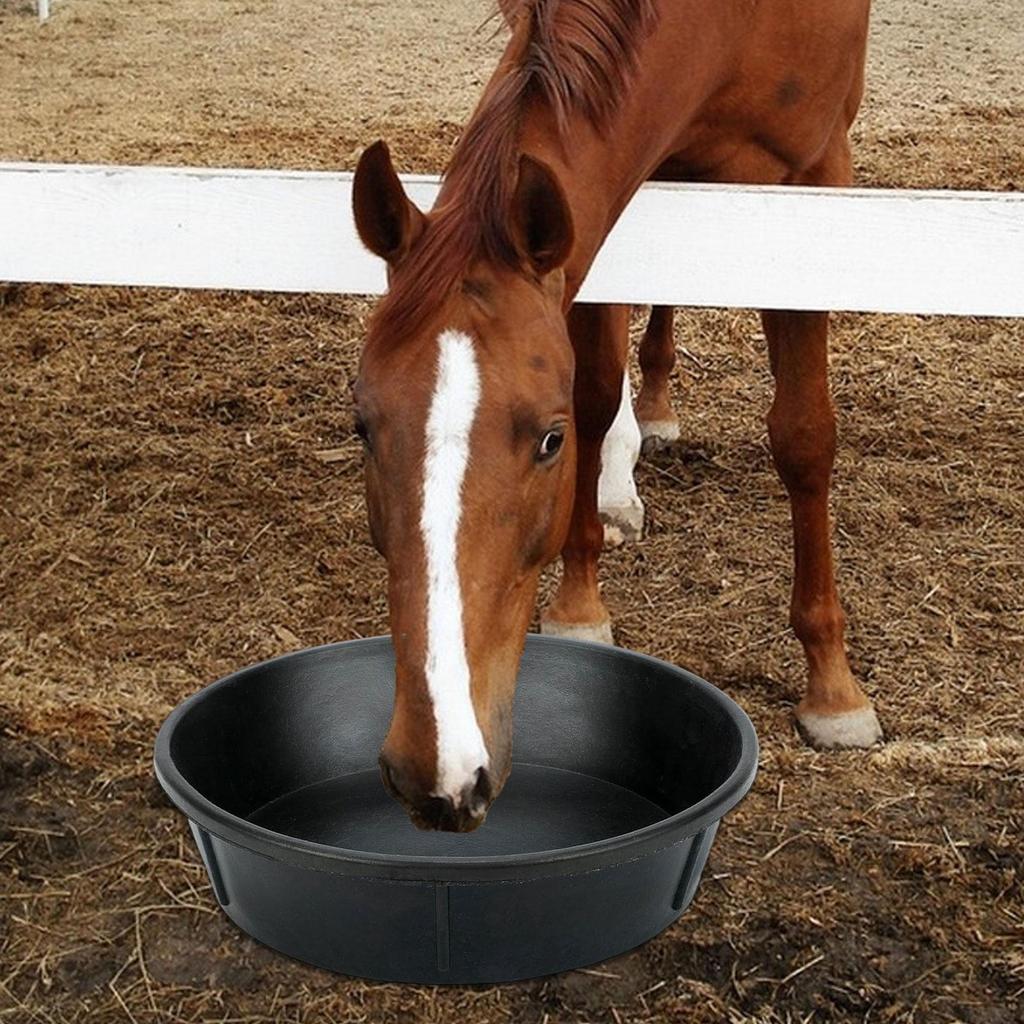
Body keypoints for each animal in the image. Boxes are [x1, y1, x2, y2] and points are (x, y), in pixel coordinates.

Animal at [350, 0, 881, 833]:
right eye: (363, 428)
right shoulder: (597, 205)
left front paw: (833, 688)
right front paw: (580, 603)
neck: (726, 23)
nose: (435, 773)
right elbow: (598, 390)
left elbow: (803, 437)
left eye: (548, 441)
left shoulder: (814, 177)